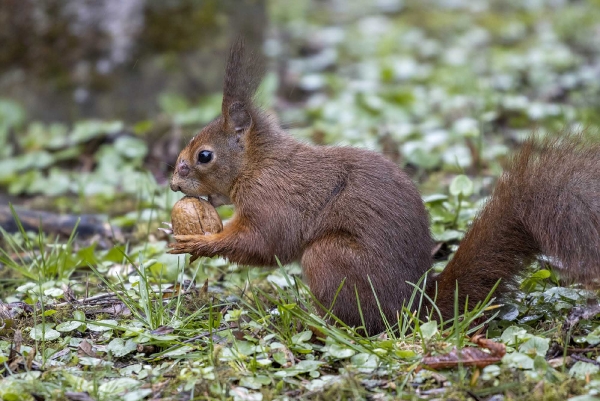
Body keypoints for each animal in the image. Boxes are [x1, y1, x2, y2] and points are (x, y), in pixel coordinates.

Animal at [168, 41, 600, 334]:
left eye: (204, 156)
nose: (173, 183)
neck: (257, 164)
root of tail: (416, 307)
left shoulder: (273, 198)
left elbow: (264, 243)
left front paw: (199, 242)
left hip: (329, 259)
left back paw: (316, 323)